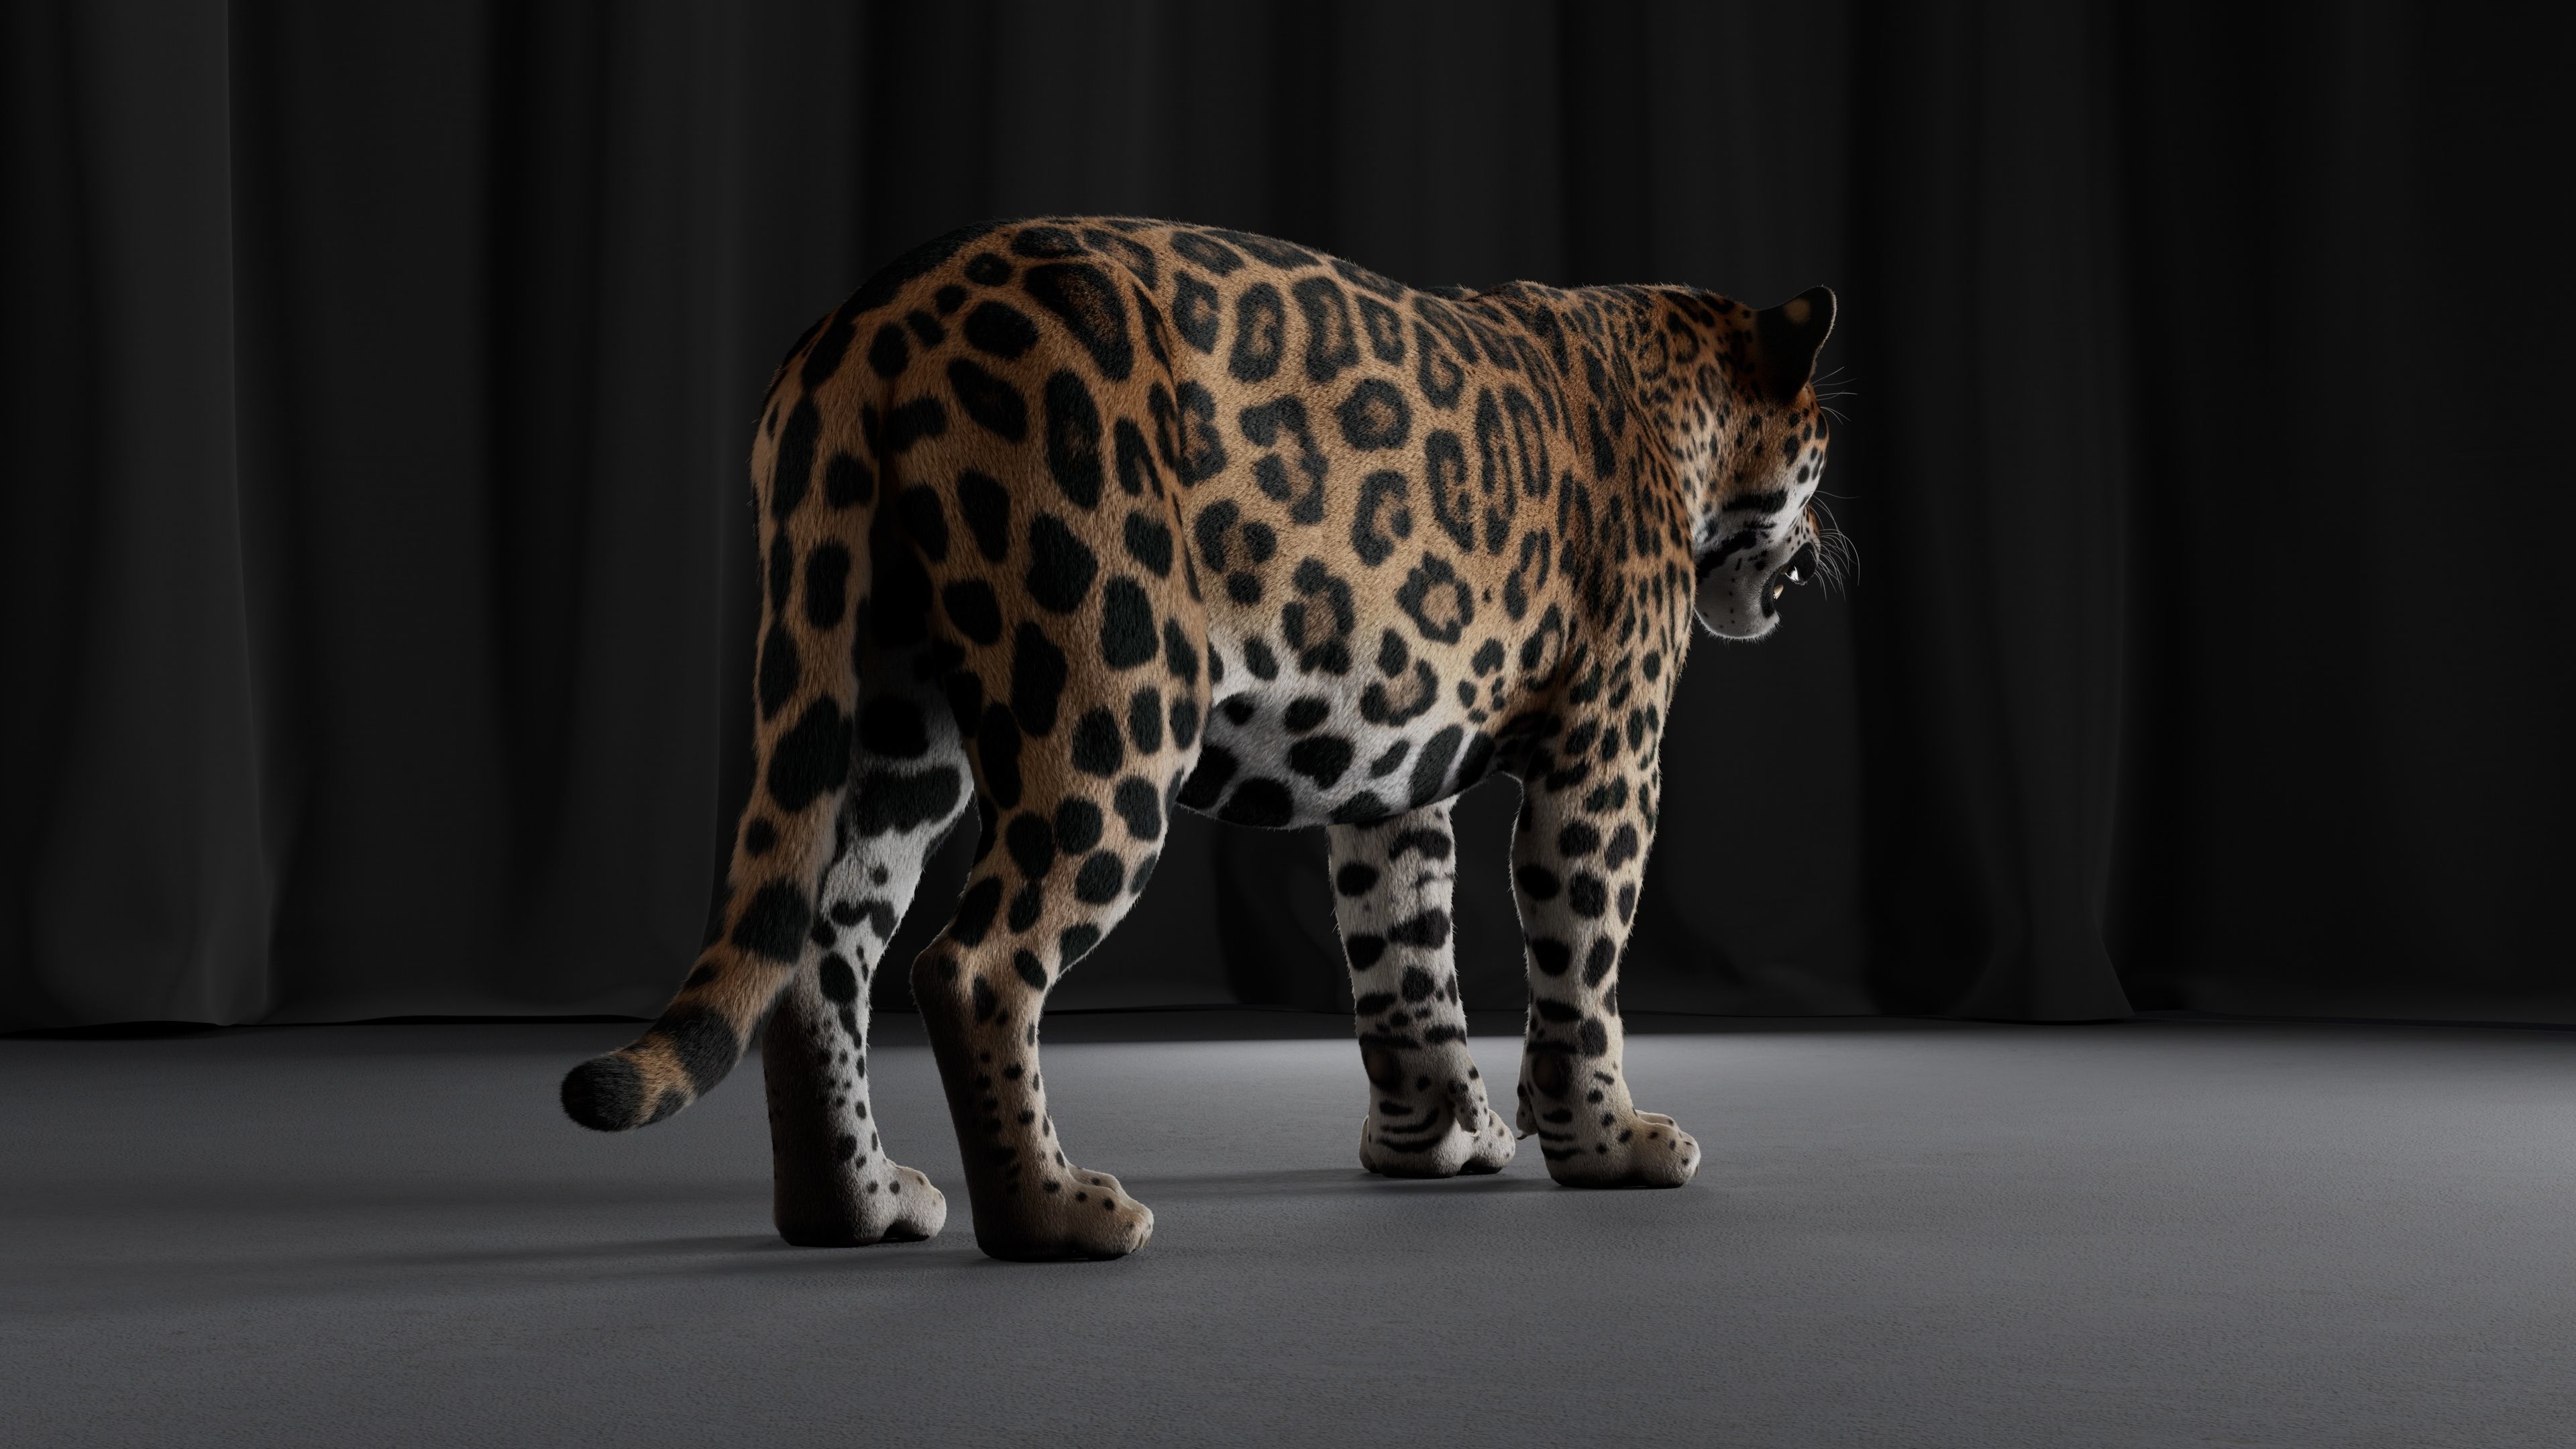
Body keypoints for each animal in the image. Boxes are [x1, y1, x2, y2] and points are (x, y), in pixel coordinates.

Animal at [559, 216, 1840, 1262]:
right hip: (1114, 704)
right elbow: (1580, 960)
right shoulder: (1608, 750)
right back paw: (1057, 1218)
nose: (1822, 536)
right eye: (1823, 438)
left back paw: (858, 1208)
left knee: (820, 957)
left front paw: (1435, 1141)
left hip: (887, 716)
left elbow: (1404, 958)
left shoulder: (1395, 774)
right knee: (969, 964)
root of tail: (868, 321)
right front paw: (1609, 1144)